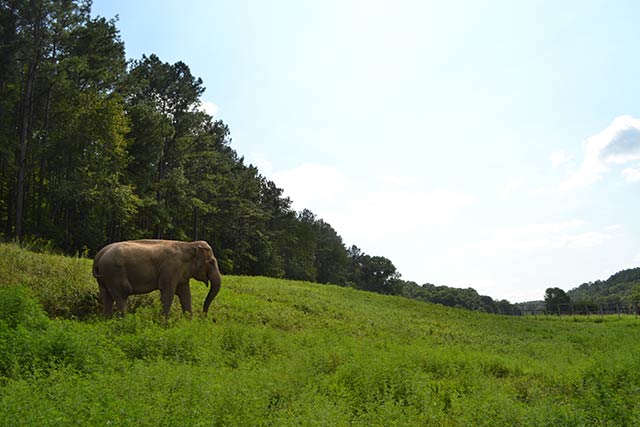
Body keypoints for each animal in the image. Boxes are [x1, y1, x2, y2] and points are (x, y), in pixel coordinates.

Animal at [91, 241, 222, 318]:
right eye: (211, 262)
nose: (204, 317)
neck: (188, 245)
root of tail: (98, 257)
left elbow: (185, 294)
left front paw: (188, 323)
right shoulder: (170, 269)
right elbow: (168, 293)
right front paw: (165, 325)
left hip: (104, 278)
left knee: (106, 297)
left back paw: (108, 321)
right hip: (114, 273)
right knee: (122, 295)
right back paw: (123, 321)